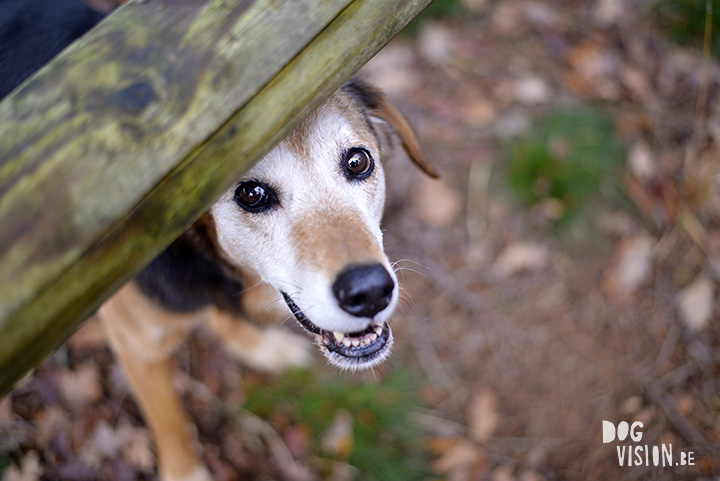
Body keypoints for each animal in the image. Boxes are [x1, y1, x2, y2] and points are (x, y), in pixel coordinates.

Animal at [0, 0, 436, 480]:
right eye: (251, 194)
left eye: (358, 162)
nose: (369, 291)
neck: (208, 265)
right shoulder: (138, 346)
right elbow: (171, 422)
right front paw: (186, 472)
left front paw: (259, 348)